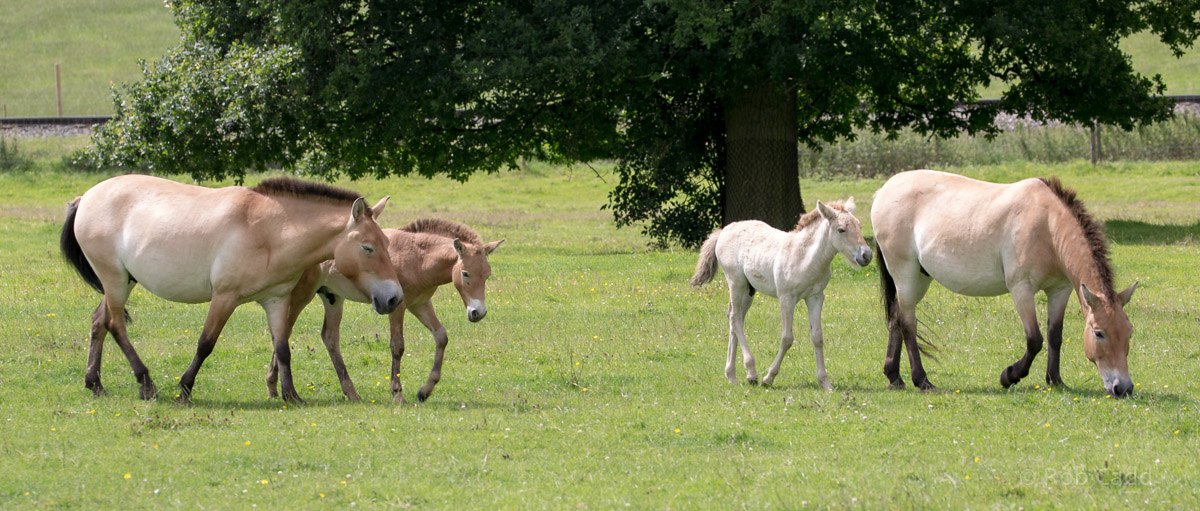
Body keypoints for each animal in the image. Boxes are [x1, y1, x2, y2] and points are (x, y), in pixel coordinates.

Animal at [60, 175, 402, 404]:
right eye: (368, 247)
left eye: (387, 243)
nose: (394, 297)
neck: (269, 230)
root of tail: (85, 197)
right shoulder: (224, 298)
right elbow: (205, 344)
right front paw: (184, 390)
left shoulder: (277, 300)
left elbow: (283, 348)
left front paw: (291, 395)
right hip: (115, 280)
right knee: (115, 324)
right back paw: (145, 383)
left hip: (122, 282)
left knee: (99, 322)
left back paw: (95, 383)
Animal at [267, 218, 503, 404]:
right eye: (465, 273)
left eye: (487, 274)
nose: (478, 312)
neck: (417, 258)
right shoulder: (397, 307)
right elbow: (397, 346)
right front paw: (397, 394)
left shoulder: (420, 304)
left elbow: (441, 336)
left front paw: (425, 391)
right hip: (301, 295)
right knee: (283, 332)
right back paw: (277, 388)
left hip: (332, 298)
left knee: (329, 337)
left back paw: (350, 393)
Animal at [690, 199, 872, 389]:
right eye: (841, 229)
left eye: (859, 226)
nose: (866, 255)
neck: (804, 257)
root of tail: (725, 230)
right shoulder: (786, 298)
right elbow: (787, 338)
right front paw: (768, 378)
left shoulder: (815, 297)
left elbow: (817, 337)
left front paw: (825, 382)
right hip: (736, 283)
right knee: (735, 318)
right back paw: (751, 373)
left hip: (749, 290)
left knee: (735, 317)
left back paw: (731, 375)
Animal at [871, 169, 1138, 397]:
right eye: (1099, 333)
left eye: (1129, 332)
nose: (1123, 388)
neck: (1046, 224)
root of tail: (884, 190)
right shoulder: (1021, 288)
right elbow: (1035, 340)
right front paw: (1009, 376)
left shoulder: (1060, 290)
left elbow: (1054, 336)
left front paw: (1055, 380)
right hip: (905, 273)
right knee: (908, 324)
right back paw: (922, 381)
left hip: (919, 277)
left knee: (896, 317)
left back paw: (894, 377)